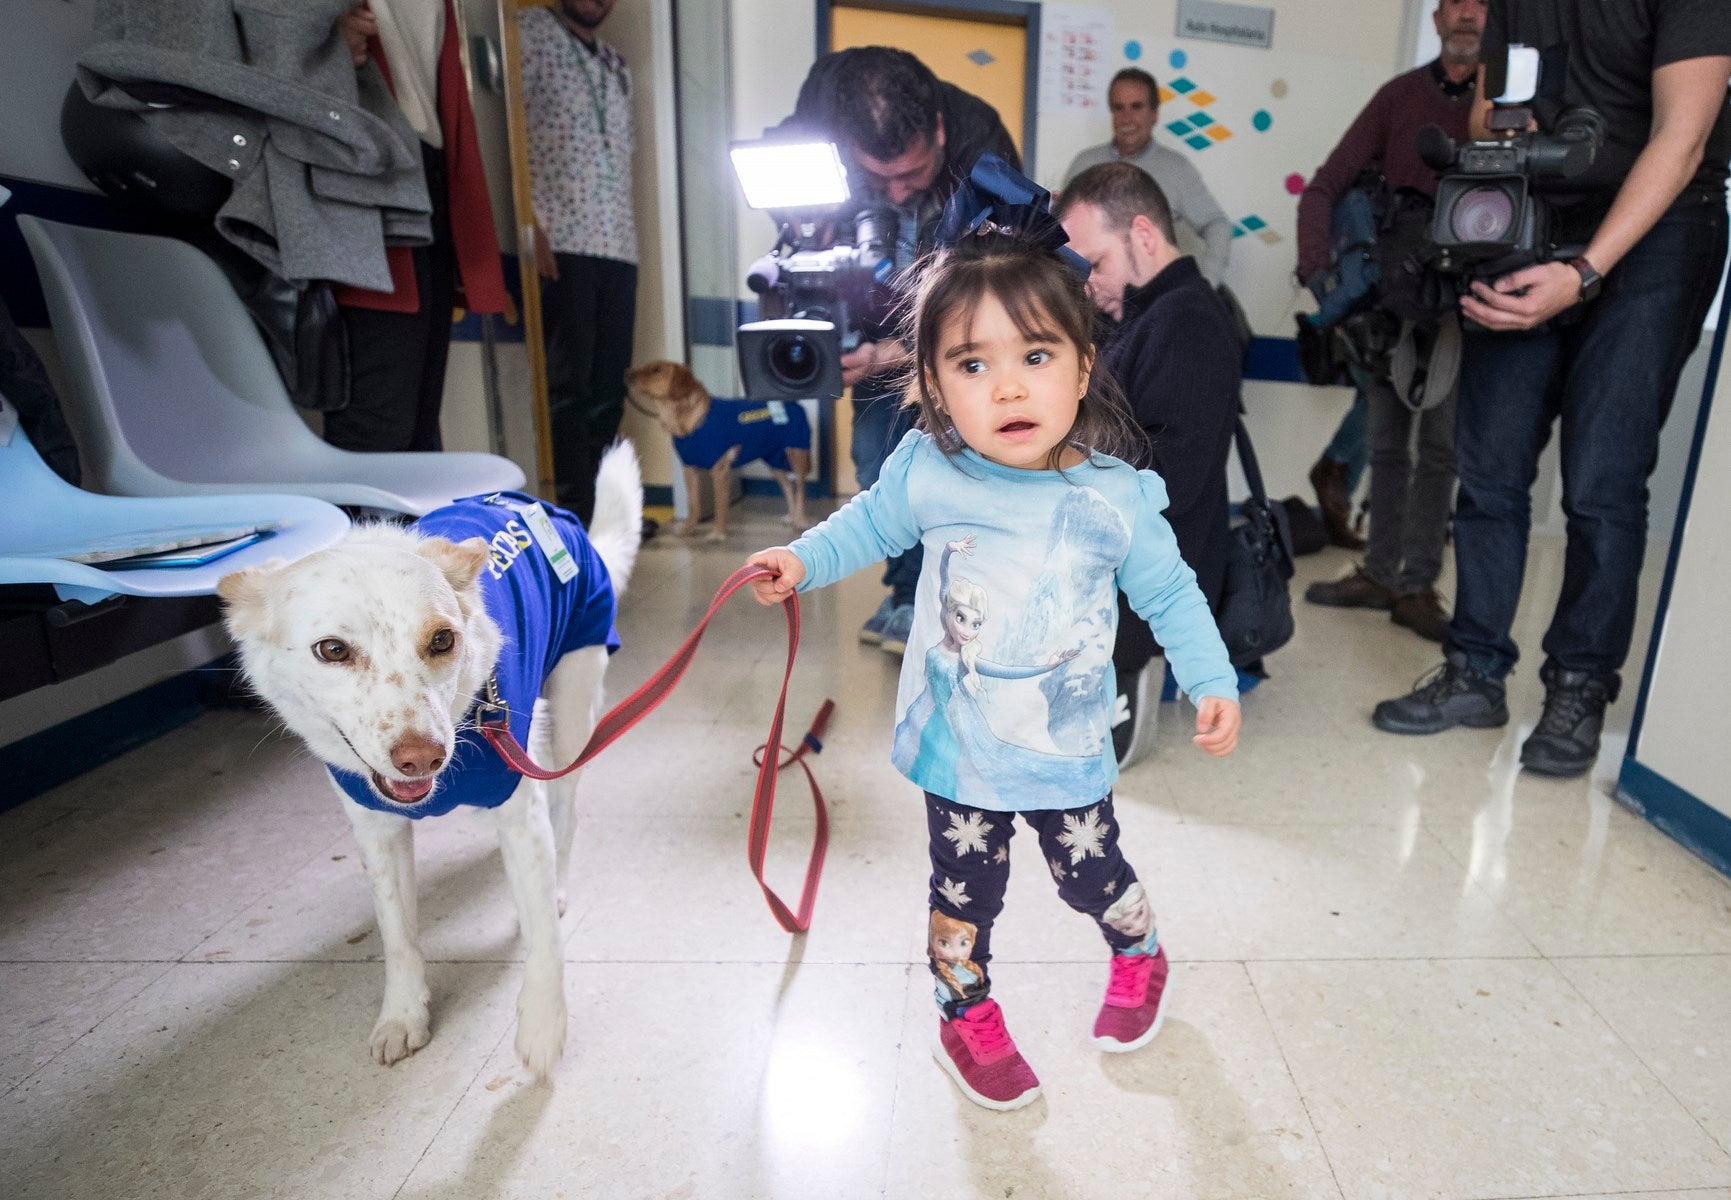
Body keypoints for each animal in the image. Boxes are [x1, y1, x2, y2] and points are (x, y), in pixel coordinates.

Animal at [221, 441, 643, 1073]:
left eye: (442, 640)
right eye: (332, 649)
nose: (422, 759)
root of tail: (546, 509)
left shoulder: (520, 814)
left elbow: (544, 939)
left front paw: (544, 1024)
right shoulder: (377, 830)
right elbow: (398, 936)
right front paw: (402, 1015)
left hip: (575, 702)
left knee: (565, 812)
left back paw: (559, 882)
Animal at [623, 358, 810, 540]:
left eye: (656, 370)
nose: (627, 374)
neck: (687, 421)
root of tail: (795, 403)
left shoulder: (719, 469)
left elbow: (719, 504)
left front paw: (718, 533)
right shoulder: (689, 469)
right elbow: (693, 504)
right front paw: (689, 529)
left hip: (797, 454)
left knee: (800, 488)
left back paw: (800, 519)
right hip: (773, 460)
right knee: (788, 486)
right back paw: (791, 516)